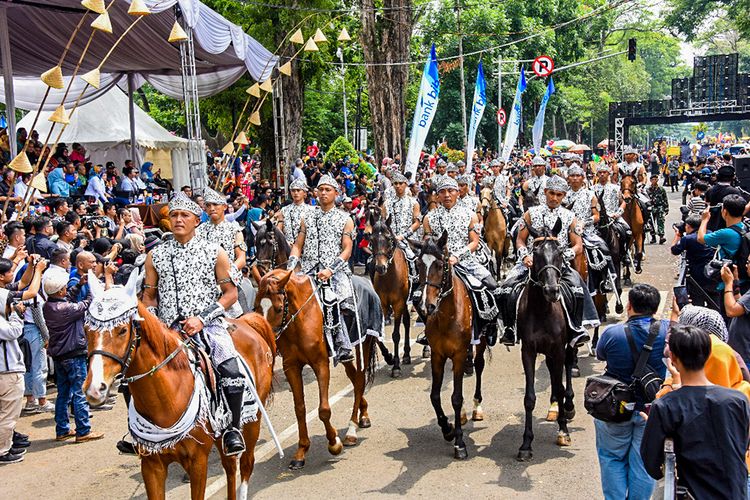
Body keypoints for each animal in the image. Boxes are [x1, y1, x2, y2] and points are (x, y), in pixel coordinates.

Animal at [82, 274, 276, 500]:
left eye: (122, 330)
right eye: (87, 330)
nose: (95, 388)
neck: (166, 399)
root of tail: (246, 322)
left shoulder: (197, 461)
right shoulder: (151, 465)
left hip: (253, 421)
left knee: (245, 464)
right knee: (229, 466)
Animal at [256, 270, 378, 468]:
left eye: (278, 308)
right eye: (256, 307)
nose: (267, 340)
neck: (300, 318)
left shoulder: (320, 364)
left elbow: (324, 410)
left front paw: (334, 443)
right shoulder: (291, 366)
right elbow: (299, 409)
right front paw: (301, 451)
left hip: (364, 342)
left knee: (360, 380)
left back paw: (351, 431)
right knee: (353, 376)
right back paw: (363, 413)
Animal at [372, 213, 418, 376]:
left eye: (389, 239)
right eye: (371, 239)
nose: (380, 267)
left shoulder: (398, 304)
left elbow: (396, 335)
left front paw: (396, 366)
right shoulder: (384, 305)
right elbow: (378, 335)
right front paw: (389, 357)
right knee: (407, 322)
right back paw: (406, 354)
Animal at [412, 229, 488, 458]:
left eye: (440, 264)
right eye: (418, 264)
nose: (426, 305)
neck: (447, 316)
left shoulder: (458, 355)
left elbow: (456, 397)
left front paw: (459, 443)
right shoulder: (438, 355)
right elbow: (435, 396)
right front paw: (447, 428)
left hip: (480, 342)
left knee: (479, 365)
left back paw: (476, 407)